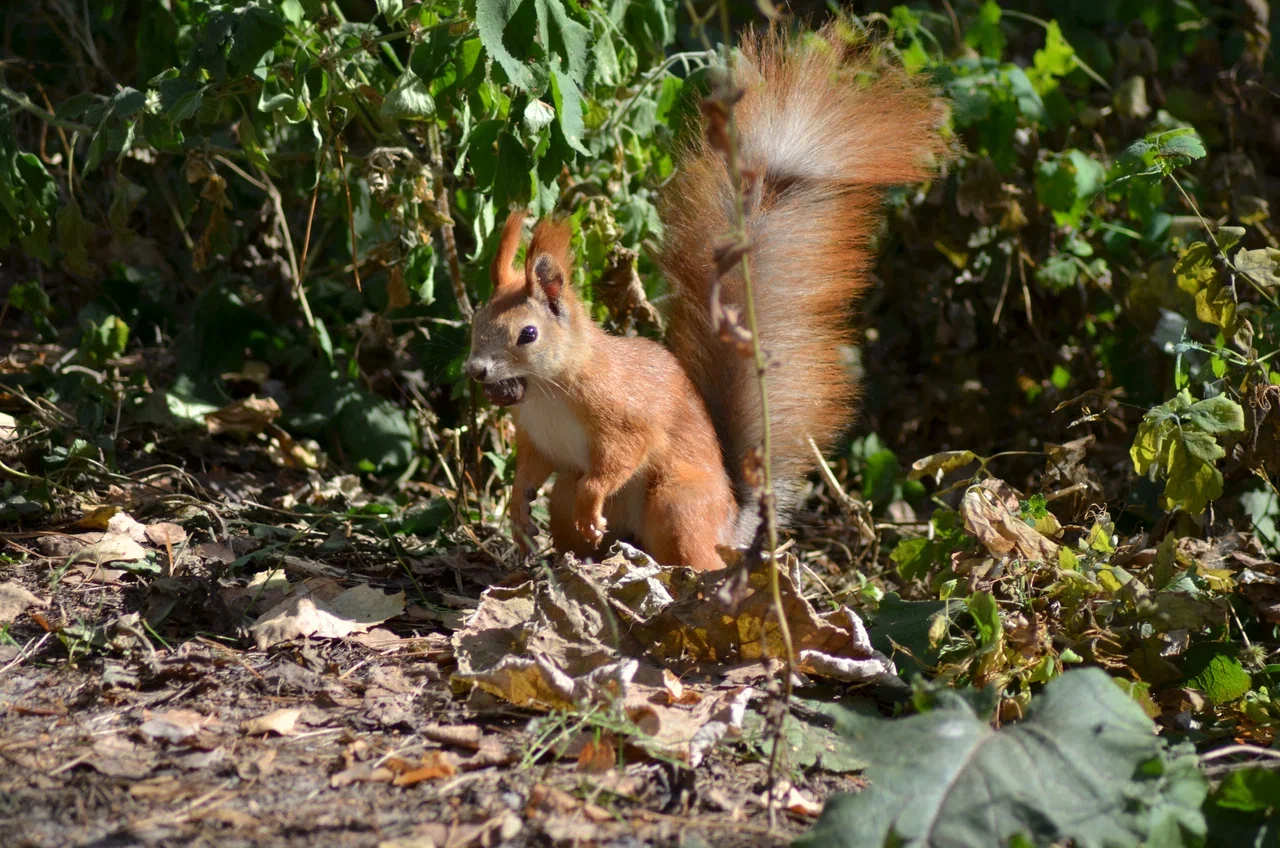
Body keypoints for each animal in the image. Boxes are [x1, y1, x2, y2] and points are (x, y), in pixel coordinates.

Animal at [465, 28, 947, 571]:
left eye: (528, 333)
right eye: (475, 323)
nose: (476, 371)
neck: (547, 387)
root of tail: (730, 521)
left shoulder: (623, 416)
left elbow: (619, 459)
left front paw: (591, 502)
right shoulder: (537, 438)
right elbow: (529, 469)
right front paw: (516, 513)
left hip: (678, 502)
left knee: (692, 552)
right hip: (568, 499)